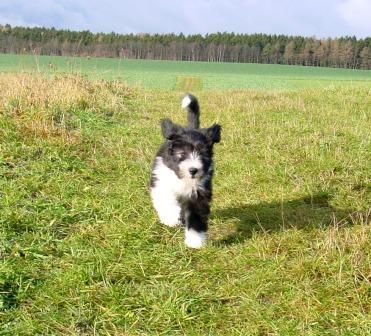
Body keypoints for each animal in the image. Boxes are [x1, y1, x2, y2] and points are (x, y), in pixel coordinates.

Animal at [150, 93, 221, 248]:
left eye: (203, 154)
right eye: (182, 153)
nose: (193, 170)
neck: (183, 178)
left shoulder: (199, 192)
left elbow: (196, 216)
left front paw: (195, 241)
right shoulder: (161, 178)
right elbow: (165, 198)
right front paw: (170, 217)